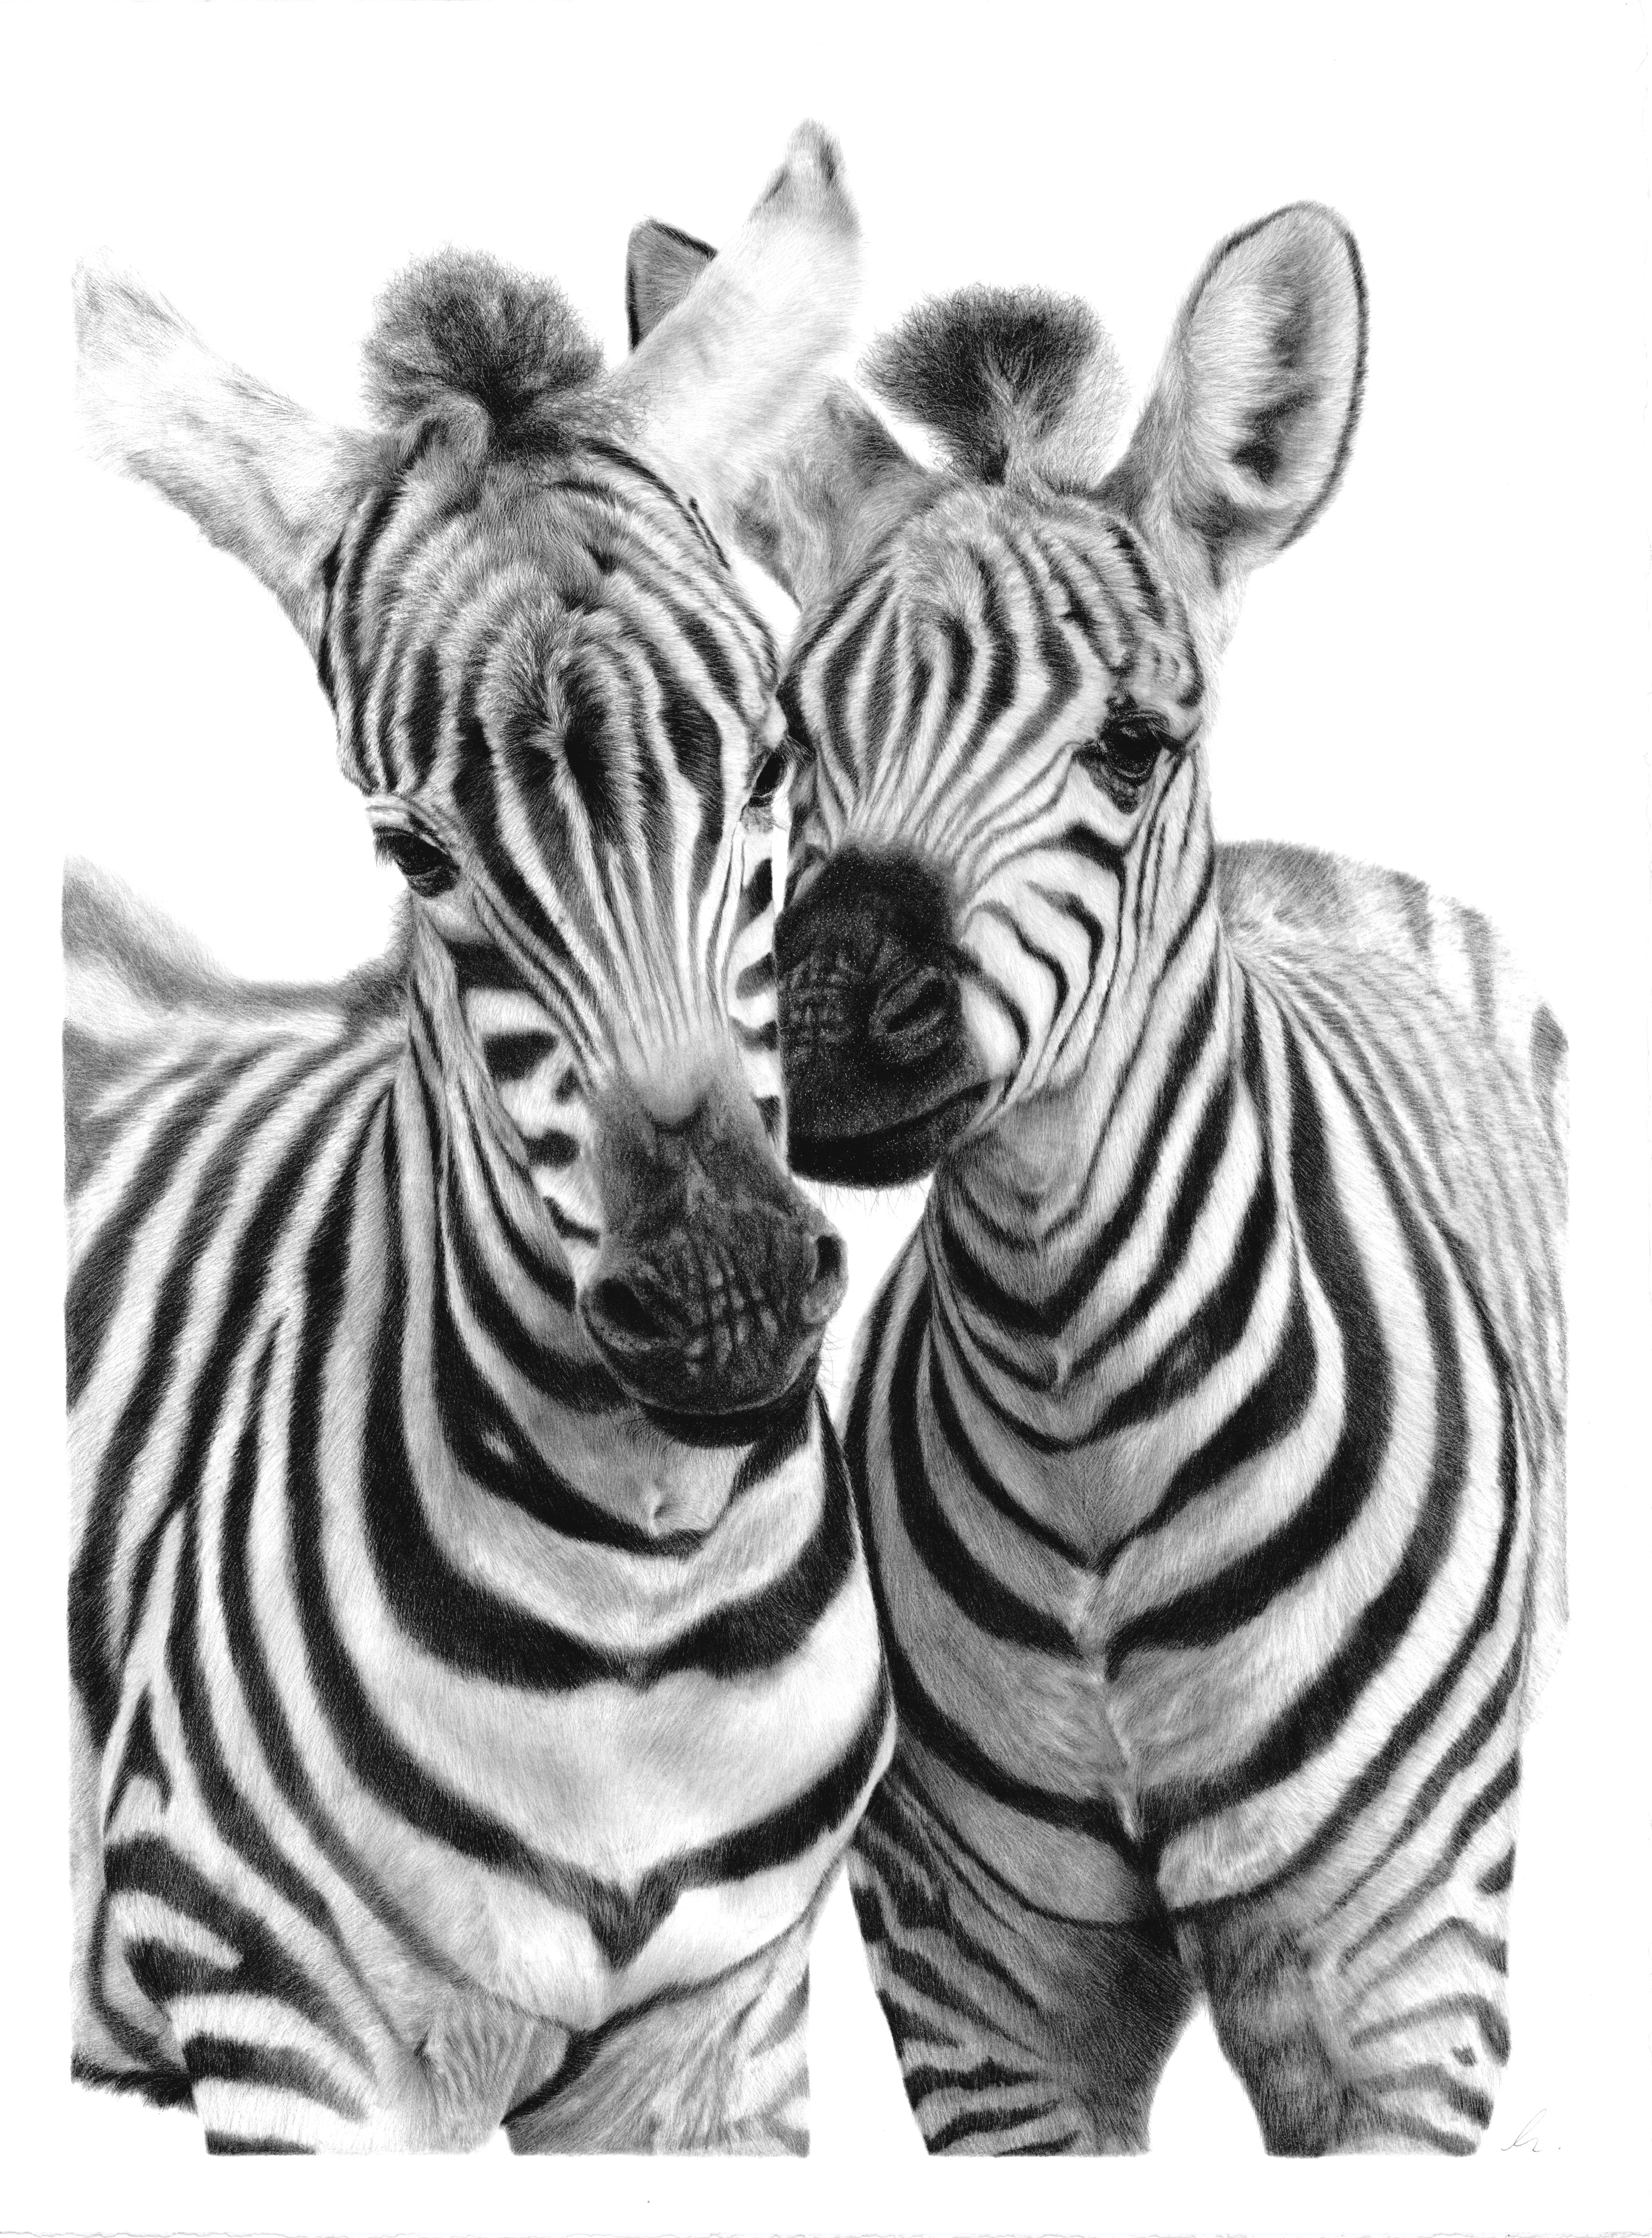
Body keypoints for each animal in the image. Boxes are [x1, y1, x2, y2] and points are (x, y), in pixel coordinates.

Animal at [66, 124, 894, 2156]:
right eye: (409, 849)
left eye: (770, 762)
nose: (728, 1298)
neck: (640, 1623)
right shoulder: (287, 2031)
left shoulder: (724, 2050)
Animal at [627, 204, 1567, 2152]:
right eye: (778, 750)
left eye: (1130, 745)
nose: (819, 1029)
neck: (1084, 1414)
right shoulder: (978, 1992)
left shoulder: (1401, 1989)